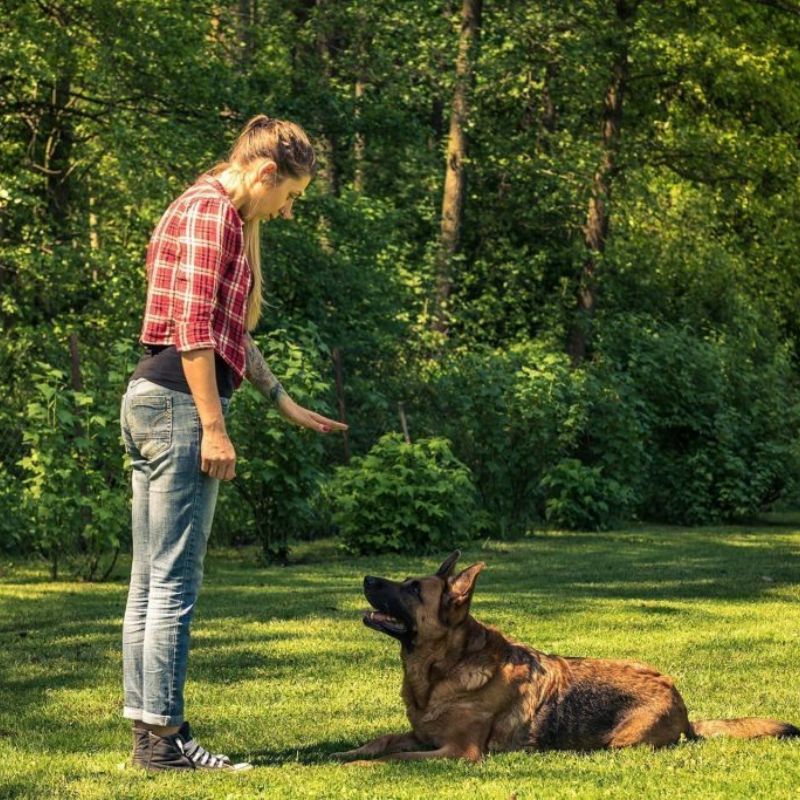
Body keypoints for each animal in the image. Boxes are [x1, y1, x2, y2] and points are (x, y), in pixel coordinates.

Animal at [332, 552, 800, 764]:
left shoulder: (458, 751)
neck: (443, 671)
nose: (367, 578)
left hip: (620, 743)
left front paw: (366, 766)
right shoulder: (423, 736)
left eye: (413, 589)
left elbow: (393, 757)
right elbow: (384, 741)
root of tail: (682, 705)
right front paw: (348, 753)